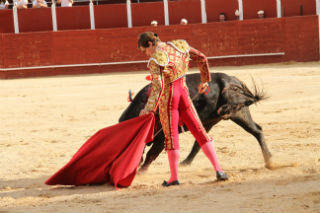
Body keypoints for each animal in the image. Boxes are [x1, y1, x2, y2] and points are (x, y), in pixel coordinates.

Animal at [118, 72, 272, 172]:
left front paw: (141, 172)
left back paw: (269, 161)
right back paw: (185, 163)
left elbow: (151, 154)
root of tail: (236, 81)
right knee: (201, 142)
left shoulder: (162, 137)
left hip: (237, 113)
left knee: (256, 131)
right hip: (214, 119)